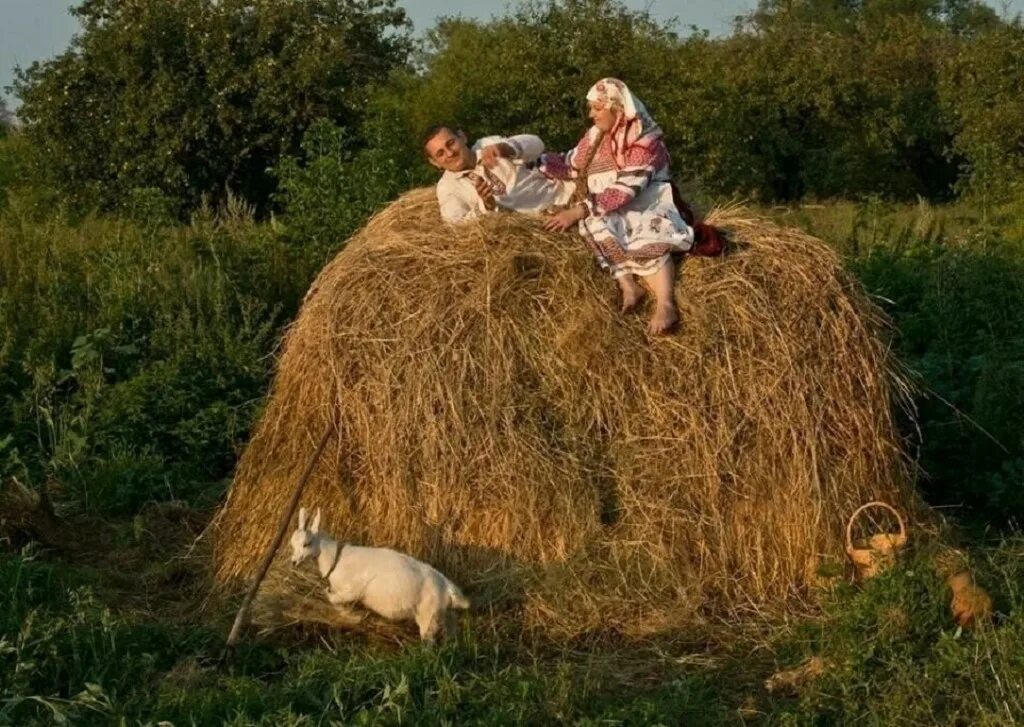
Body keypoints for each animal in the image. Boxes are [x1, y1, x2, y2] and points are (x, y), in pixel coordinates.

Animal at [284, 507, 468, 643]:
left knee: (429, 641)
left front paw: (353, 616)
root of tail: (447, 586)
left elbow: (331, 597)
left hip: (427, 616)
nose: (293, 562)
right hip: (443, 613)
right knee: (451, 629)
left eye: (306, 544)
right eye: (292, 544)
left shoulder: (353, 590)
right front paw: (348, 615)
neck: (336, 559)